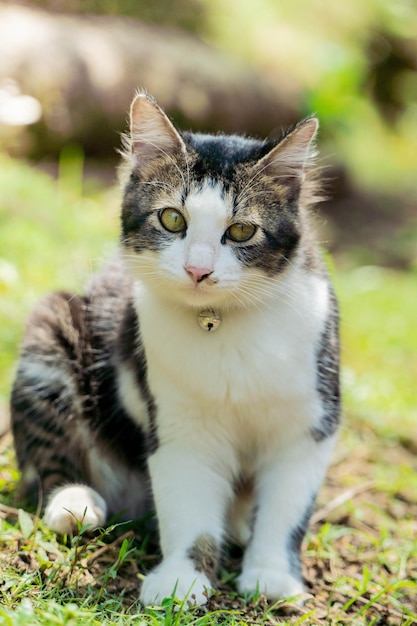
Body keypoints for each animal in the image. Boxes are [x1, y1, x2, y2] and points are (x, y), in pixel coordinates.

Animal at [11, 92, 340, 604]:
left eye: (242, 231)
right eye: (172, 219)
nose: (198, 270)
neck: (222, 324)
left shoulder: (308, 425)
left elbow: (285, 512)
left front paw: (270, 574)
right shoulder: (180, 425)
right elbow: (189, 507)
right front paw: (183, 579)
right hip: (48, 332)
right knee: (45, 461)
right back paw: (75, 502)